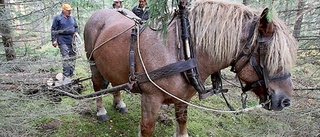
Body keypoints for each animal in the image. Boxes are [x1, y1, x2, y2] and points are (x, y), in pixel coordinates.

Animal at [83, 0, 298, 136]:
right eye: (269, 56)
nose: (286, 101)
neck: (183, 49)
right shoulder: (151, 98)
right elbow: (147, 128)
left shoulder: (183, 97)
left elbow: (182, 122)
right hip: (93, 63)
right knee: (97, 87)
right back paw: (101, 111)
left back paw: (119, 103)